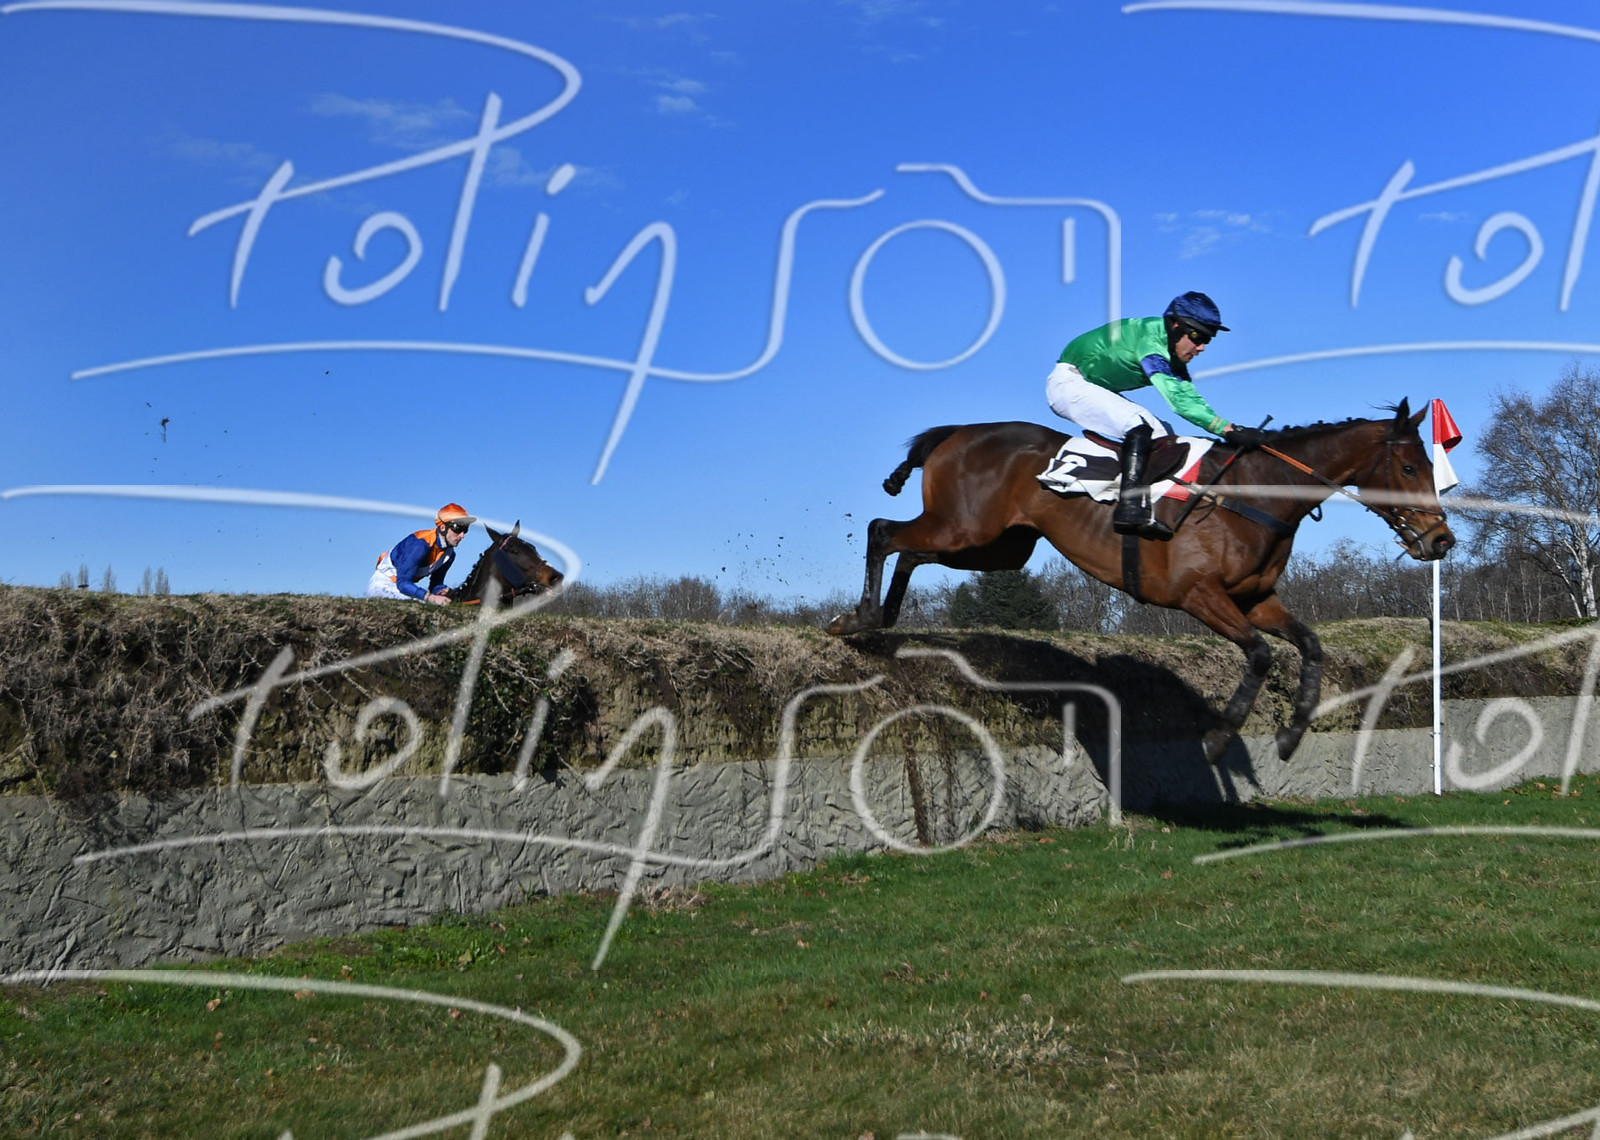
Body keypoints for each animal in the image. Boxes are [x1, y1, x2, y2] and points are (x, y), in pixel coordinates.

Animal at [828, 399, 1455, 762]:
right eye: (1408, 467)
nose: (1441, 542)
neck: (1258, 493)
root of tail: (959, 431)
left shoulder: (1256, 598)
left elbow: (1311, 645)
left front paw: (1293, 732)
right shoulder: (1198, 595)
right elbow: (1258, 655)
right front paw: (1219, 737)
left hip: (996, 547)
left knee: (910, 550)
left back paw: (883, 618)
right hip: (965, 528)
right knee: (884, 531)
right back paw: (858, 618)